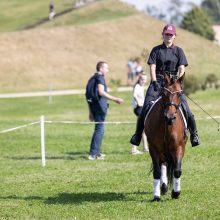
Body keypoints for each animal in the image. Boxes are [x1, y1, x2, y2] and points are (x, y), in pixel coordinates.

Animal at [144, 72, 187, 201]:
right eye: (163, 93)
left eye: (179, 94)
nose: (170, 117)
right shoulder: (153, 149)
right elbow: (157, 172)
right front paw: (156, 196)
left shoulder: (178, 147)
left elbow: (177, 171)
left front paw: (176, 193)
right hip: (162, 151)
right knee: (163, 164)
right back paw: (163, 187)